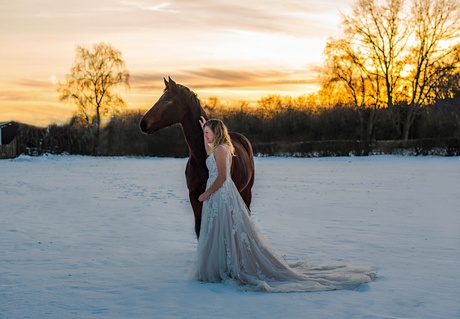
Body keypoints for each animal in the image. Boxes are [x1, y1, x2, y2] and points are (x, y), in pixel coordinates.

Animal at [140, 77, 255, 238]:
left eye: (167, 100)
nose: (143, 123)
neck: (201, 158)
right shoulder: (194, 197)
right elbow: (199, 229)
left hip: (246, 191)